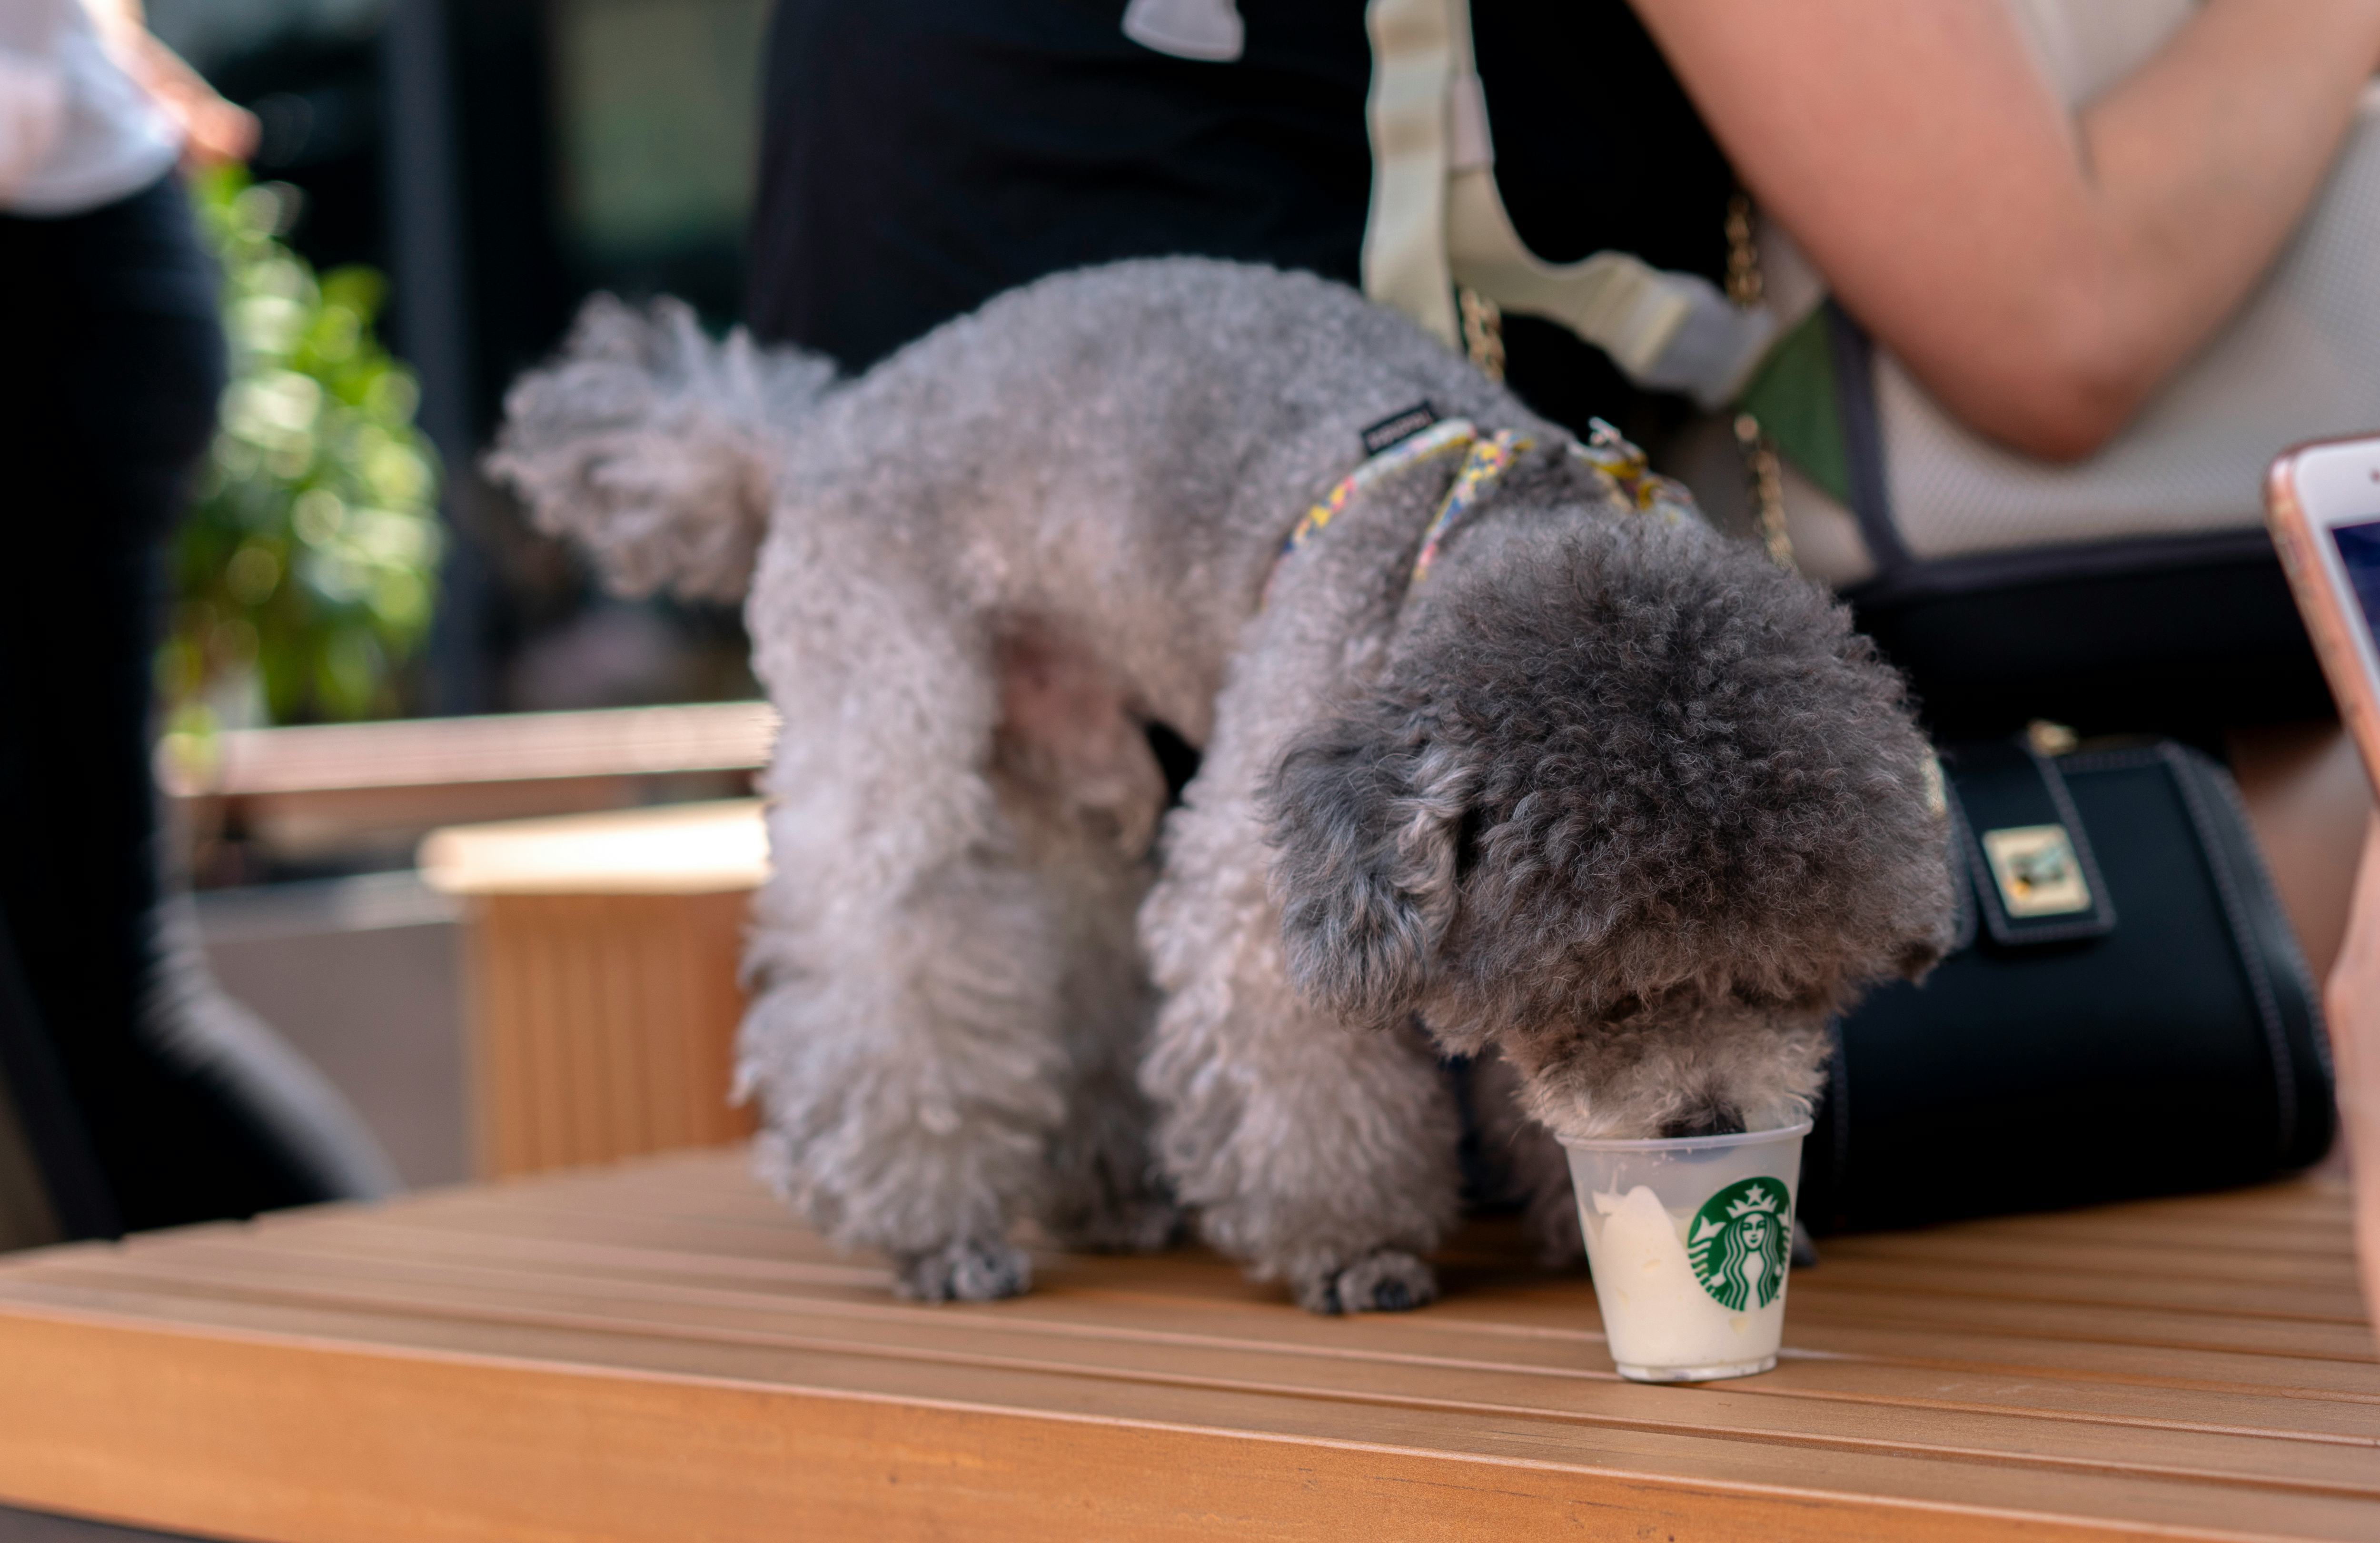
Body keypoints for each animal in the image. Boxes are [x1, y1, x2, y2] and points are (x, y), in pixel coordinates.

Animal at [488, 262, 1952, 1314]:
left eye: (1785, 984)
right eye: (1601, 999)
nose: (1710, 1129)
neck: (1460, 546)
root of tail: (816, 428)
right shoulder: (1273, 872)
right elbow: (1293, 1056)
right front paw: (1352, 1246)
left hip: (1065, 756)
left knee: (1063, 944)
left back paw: (1100, 1191)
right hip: (888, 701)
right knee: (889, 940)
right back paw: (935, 1228)